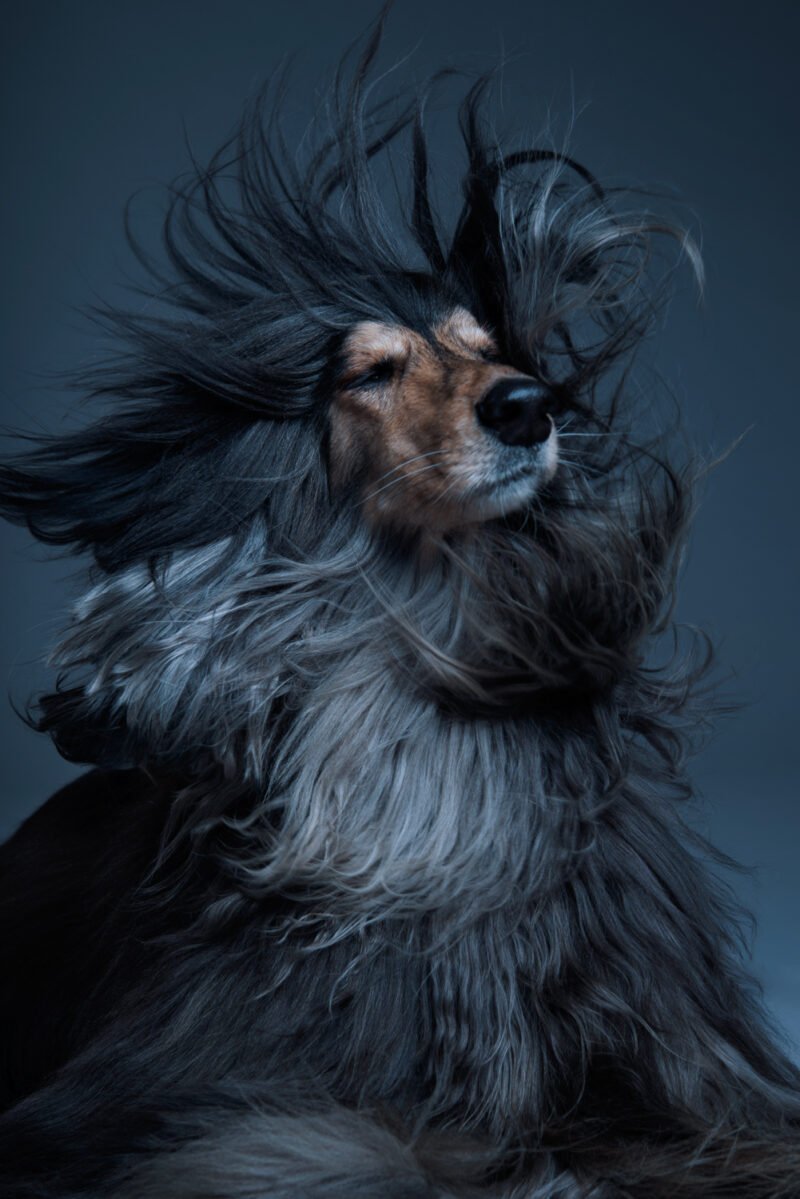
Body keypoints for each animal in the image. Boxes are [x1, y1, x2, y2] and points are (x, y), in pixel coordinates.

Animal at [1, 18, 800, 1199]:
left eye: (486, 346)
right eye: (371, 372)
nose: (528, 406)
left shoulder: (677, 1067)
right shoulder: (178, 1093)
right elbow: (335, 1144)